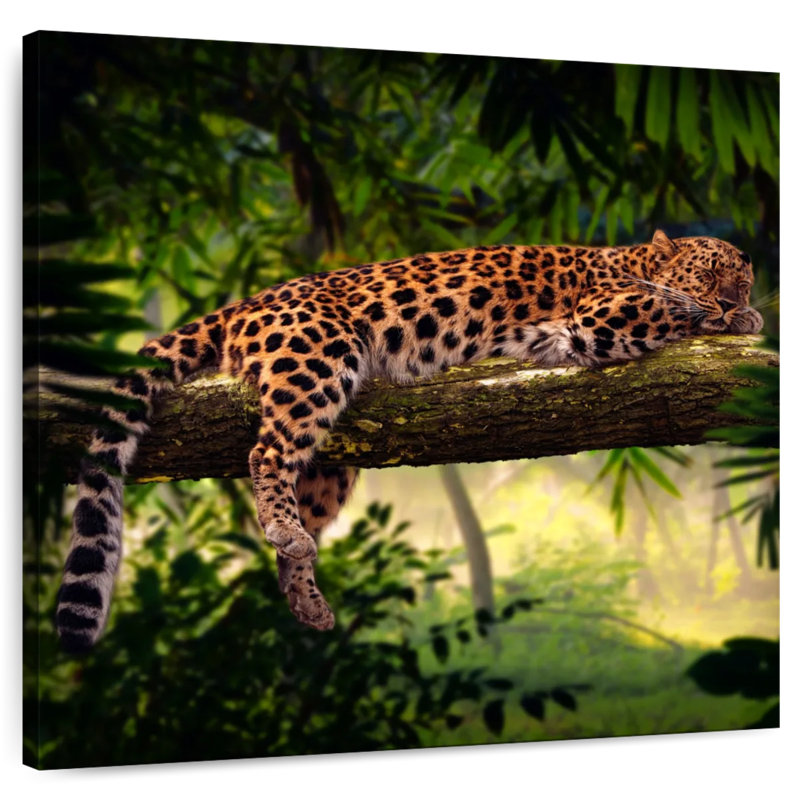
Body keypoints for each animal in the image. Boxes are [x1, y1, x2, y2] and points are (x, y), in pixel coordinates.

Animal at [55, 229, 762, 652]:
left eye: (744, 278)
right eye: (709, 277)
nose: (735, 302)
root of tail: (245, 303)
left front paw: (749, 316)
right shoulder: (601, 316)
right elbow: (669, 306)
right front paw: (734, 318)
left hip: (333, 459)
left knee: (301, 495)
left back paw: (307, 597)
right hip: (316, 357)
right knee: (267, 449)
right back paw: (284, 532)